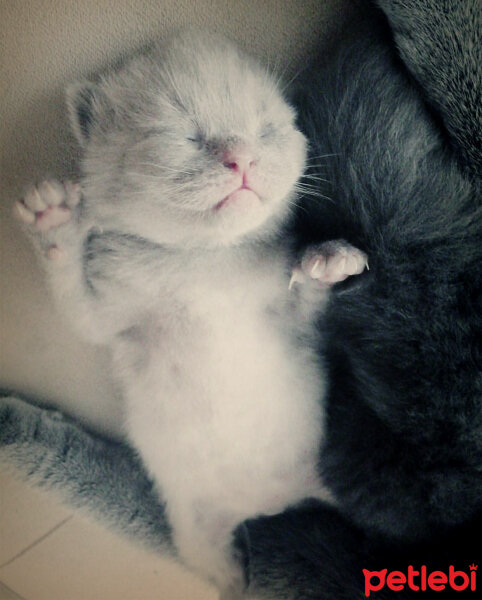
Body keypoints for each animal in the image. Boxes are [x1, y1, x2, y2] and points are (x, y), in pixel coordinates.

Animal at [15, 32, 370, 596]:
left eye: (266, 128)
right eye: (182, 134)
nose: (241, 158)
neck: (206, 259)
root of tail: (271, 503)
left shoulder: (291, 318)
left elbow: (309, 301)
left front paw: (330, 260)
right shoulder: (110, 311)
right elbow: (77, 306)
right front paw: (55, 223)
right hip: (193, 527)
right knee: (212, 561)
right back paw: (236, 577)